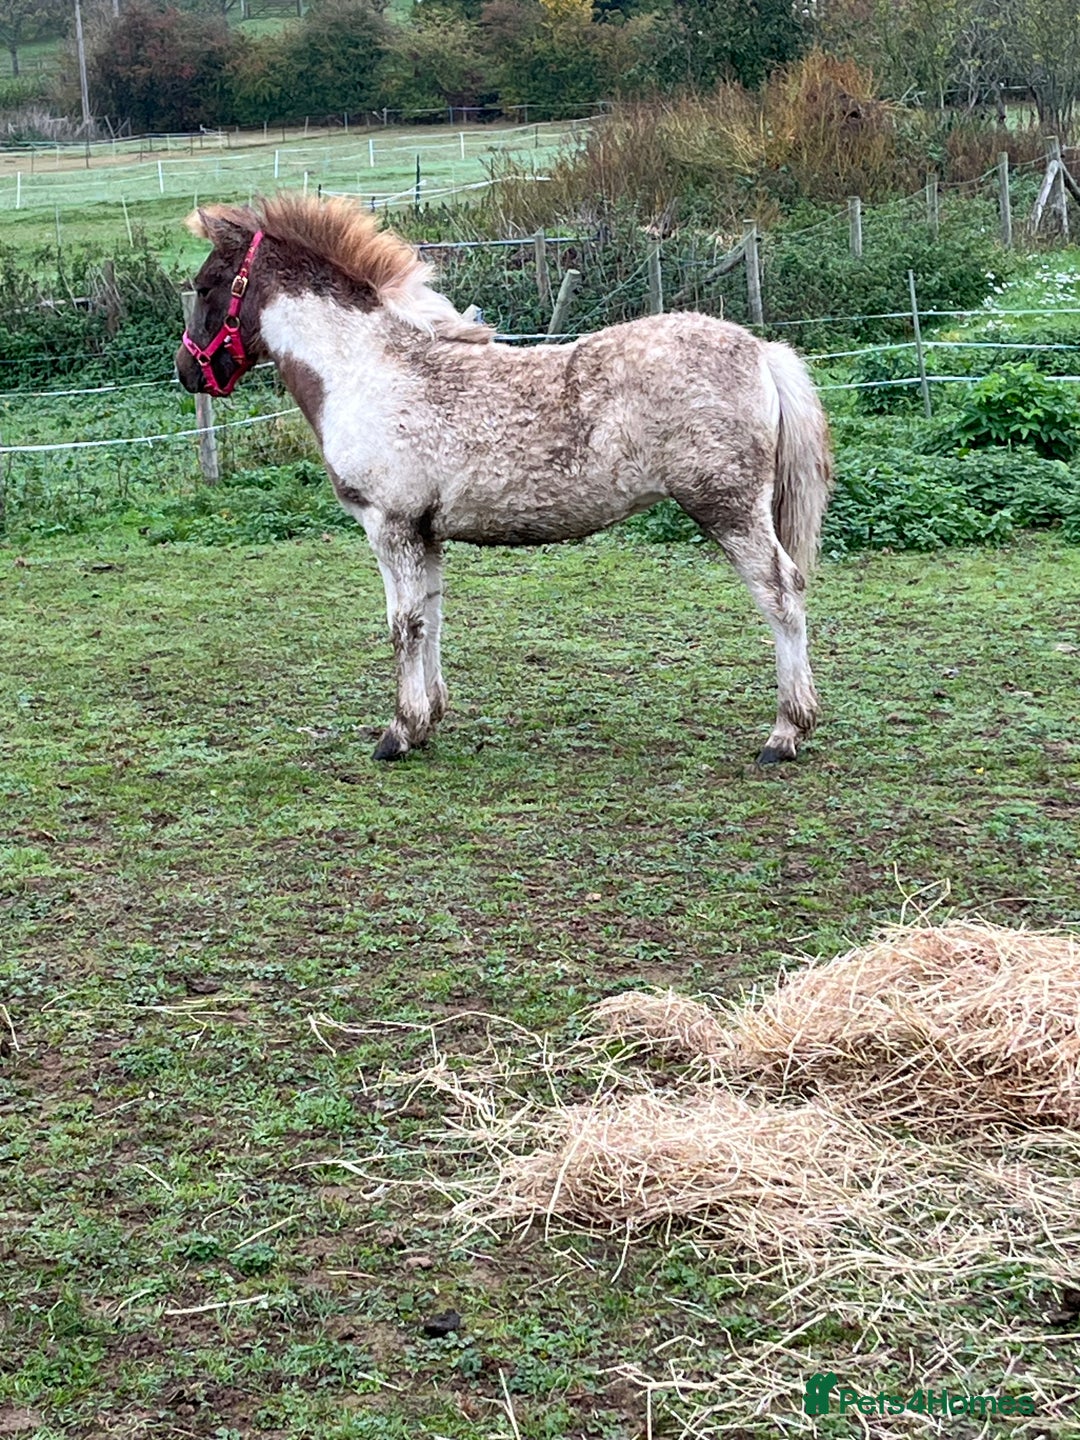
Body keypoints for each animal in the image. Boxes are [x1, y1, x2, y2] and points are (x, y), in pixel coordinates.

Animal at [176, 194, 833, 764]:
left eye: (207, 285)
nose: (187, 371)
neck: (366, 369)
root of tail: (761, 351)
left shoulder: (389, 526)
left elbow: (402, 626)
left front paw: (399, 732)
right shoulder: (424, 533)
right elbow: (431, 617)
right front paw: (429, 719)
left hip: (728, 507)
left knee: (781, 593)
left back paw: (785, 734)